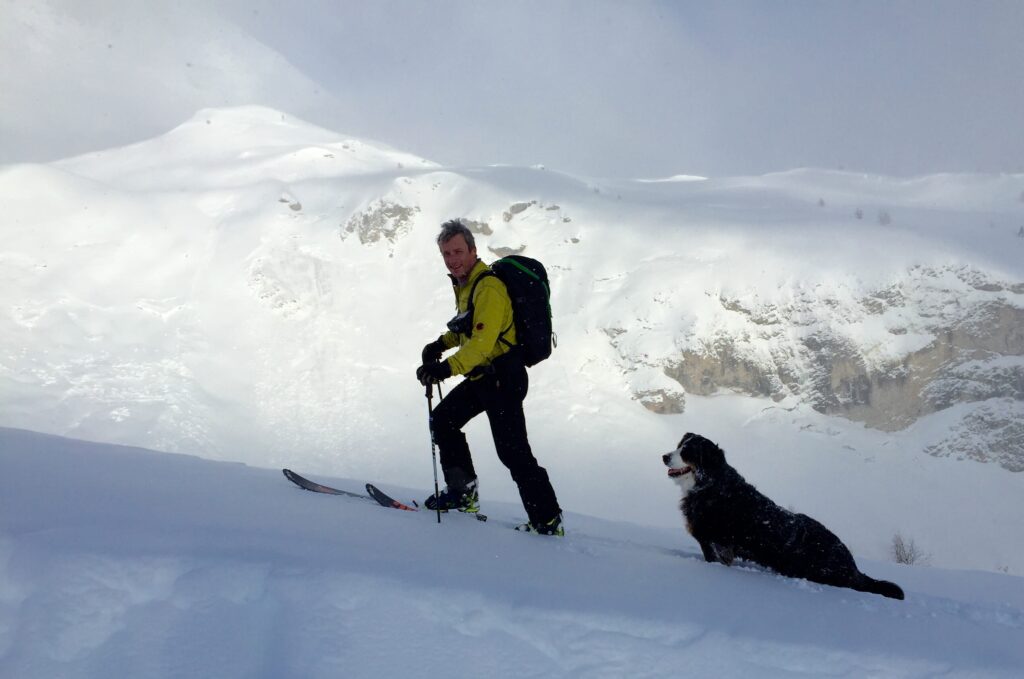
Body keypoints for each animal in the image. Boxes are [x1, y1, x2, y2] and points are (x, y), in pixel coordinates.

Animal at [663, 432, 905, 602]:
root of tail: (852, 564)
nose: (664, 456)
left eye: (687, 452)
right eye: (678, 446)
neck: (710, 485)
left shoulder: (716, 543)